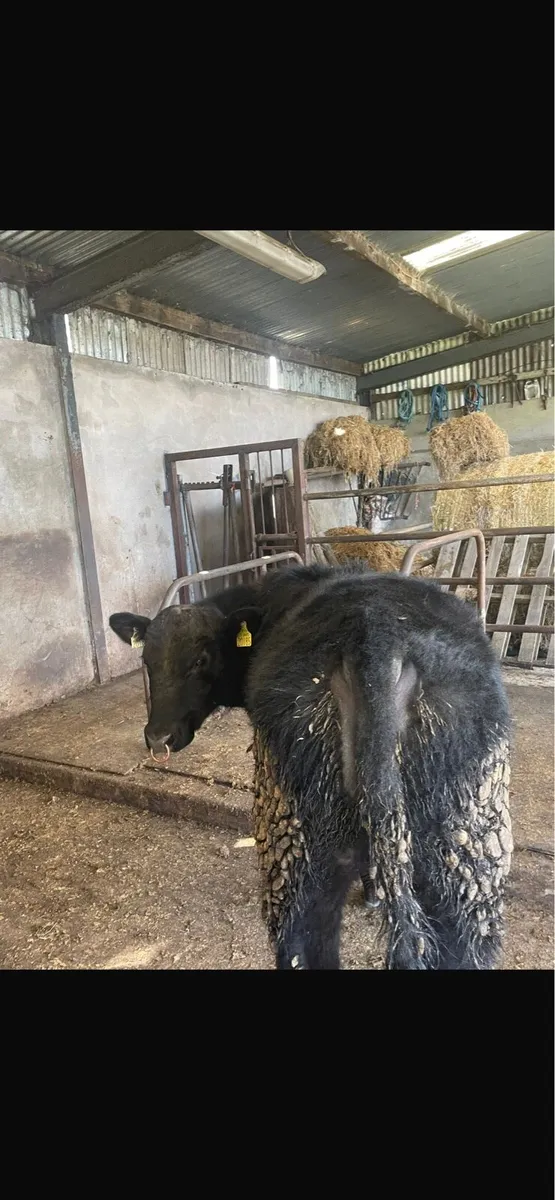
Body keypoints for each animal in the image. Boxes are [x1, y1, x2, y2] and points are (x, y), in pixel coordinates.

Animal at [110, 564, 512, 971]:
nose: (158, 737)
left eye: (200, 660)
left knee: (301, 940)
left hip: (296, 831)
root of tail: (377, 635)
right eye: (147, 662)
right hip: (456, 855)